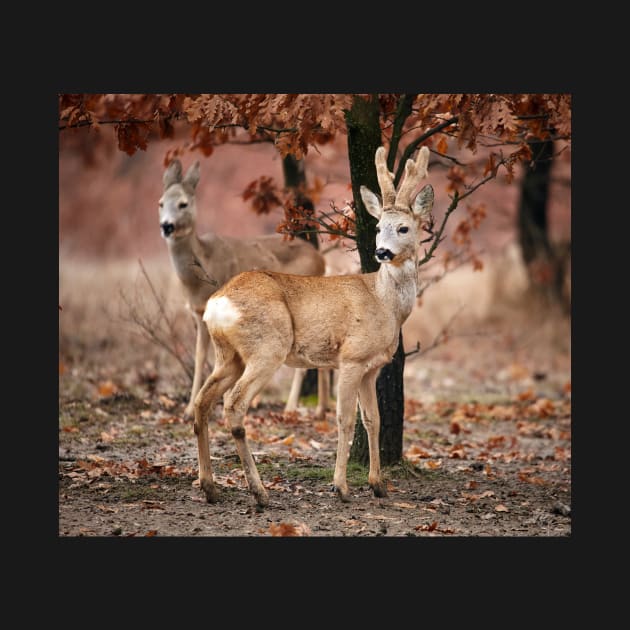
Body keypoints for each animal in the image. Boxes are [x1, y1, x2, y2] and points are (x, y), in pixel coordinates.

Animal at [158, 160, 334, 420]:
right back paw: (321, 409)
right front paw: (189, 409)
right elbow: (199, 358)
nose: (167, 226)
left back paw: (292, 407)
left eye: (183, 203)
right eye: (161, 203)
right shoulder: (198, 313)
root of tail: (321, 258)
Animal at [195, 144, 436, 508]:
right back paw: (259, 492)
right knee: (234, 405)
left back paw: (210, 487)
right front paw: (341, 487)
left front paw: (378, 485)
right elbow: (345, 420)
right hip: (268, 347)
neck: (384, 303)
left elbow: (374, 420)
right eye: (379, 227)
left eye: (403, 228)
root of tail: (217, 303)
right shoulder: (351, 358)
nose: (381, 252)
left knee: (201, 403)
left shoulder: (372, 367)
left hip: (229, 355)